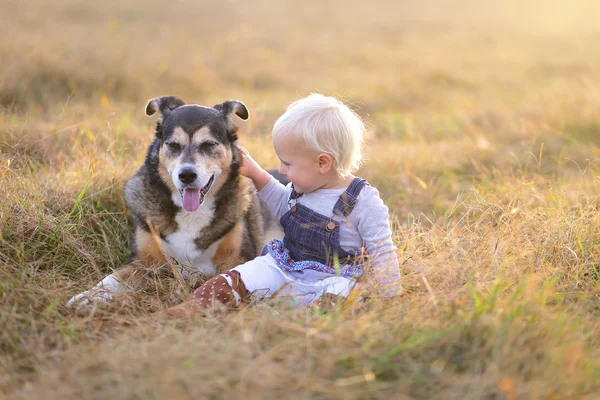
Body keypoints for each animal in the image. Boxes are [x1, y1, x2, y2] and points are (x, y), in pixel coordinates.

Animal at [67, 97, 282, 310]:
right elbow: (112, 279)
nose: (186, 175)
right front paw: (88, 296)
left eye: (208, 144)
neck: (192, 214)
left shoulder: (238, 258)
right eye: (173, 145)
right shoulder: (141, 261)